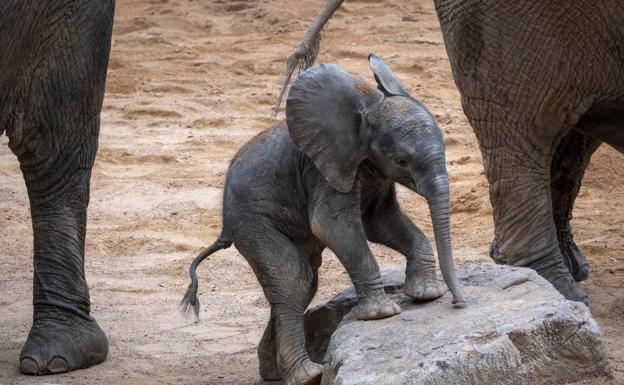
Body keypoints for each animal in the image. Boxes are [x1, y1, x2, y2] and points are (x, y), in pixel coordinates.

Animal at [180, 54, 464, 384]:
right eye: (402, 161)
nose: (458, 303)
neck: (367, 109)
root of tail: (224, 226)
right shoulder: (322, 169)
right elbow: (332, 224)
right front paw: (382, 314)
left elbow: (379, 221)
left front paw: (425, 295)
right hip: (252, 222)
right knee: (295, 279)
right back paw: (307, 375)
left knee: (301, 286)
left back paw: (274, 373)